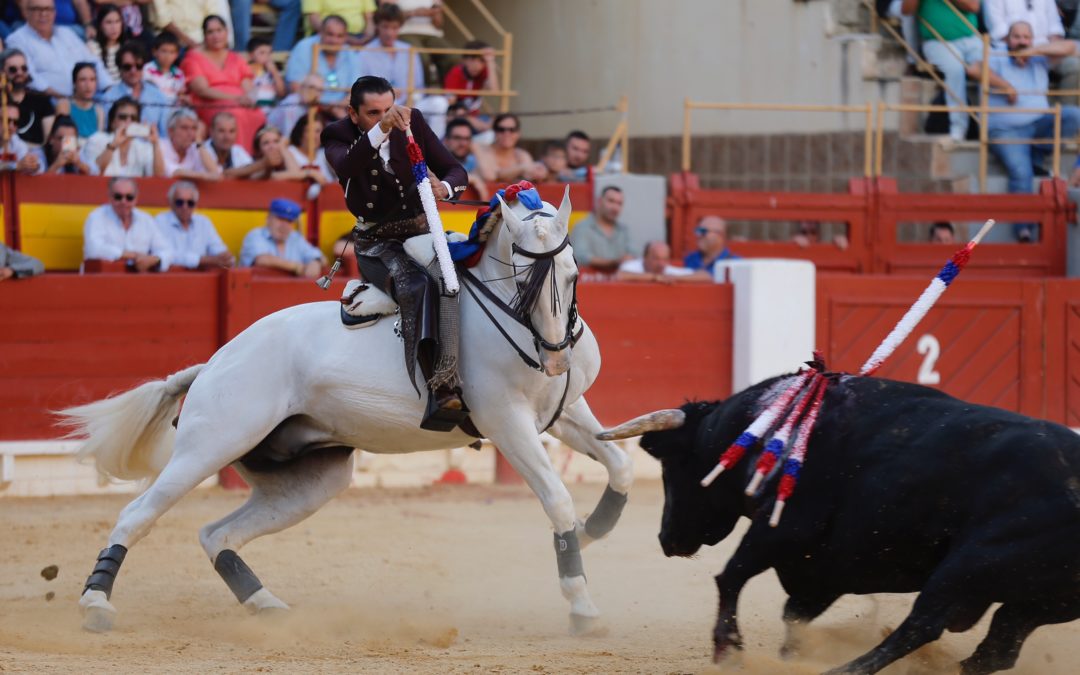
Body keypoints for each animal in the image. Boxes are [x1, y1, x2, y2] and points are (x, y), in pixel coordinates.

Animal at [61, 190, 630, 635]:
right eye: (524, 280)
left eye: (574, 274)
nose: (555, 360)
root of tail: (215, 361)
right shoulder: (506, 422)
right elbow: (557, 498)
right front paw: (581, 604)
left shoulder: (564, 411)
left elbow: (619, 464)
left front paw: (592, 529)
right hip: (210, 445)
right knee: (138, 515)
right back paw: (95, 604)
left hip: (312, 478)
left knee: (217, 534)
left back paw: (266, 605)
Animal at [604, 373, 1080, 673]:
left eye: (671, 466)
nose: (666, 539)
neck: (769, 429)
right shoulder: (825, 568)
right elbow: (794, 615)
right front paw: (791, 656)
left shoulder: (782, 531)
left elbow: (731, 577)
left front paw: (728, 651)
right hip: (1038, 602)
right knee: (996, 650)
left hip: (964, 569)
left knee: (921, 625)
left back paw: (847, 670)